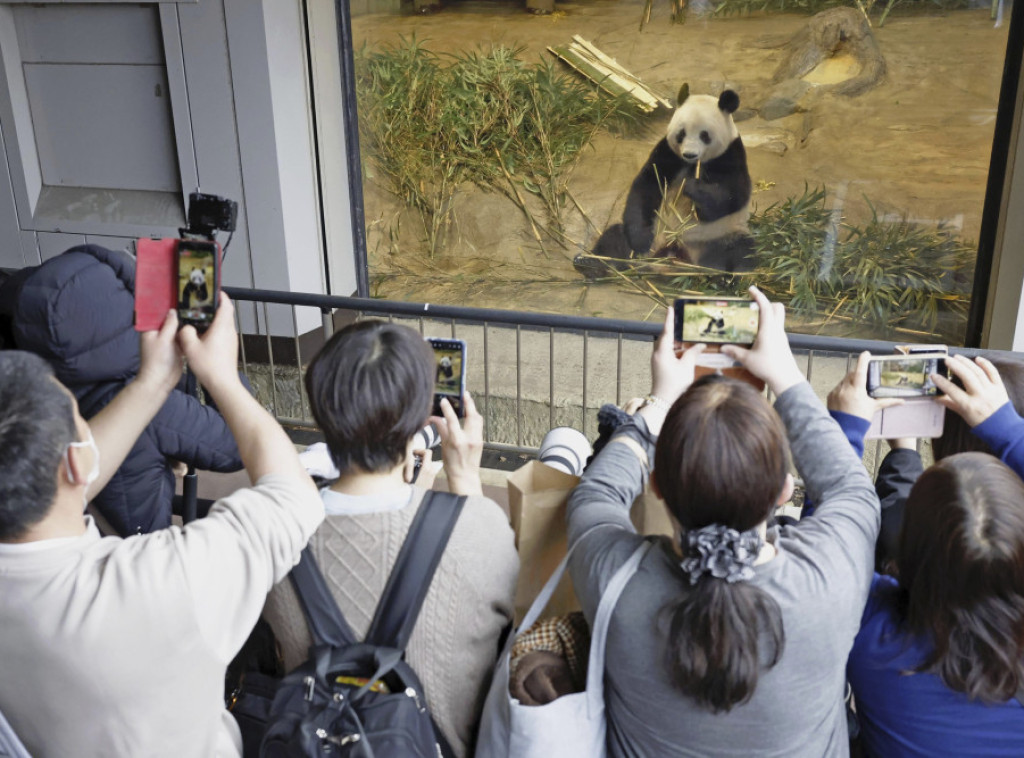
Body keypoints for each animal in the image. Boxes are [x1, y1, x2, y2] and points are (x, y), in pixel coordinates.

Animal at [589, 85, 757, 272]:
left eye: (704, 135)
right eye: (681, 134)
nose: (689, 154)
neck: (692, 164)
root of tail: (675, 250)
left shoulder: (730, 154)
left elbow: (732, 196)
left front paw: (692, 187)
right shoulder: (667, 152)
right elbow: (647, 186)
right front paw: (640, 240)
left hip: (718, 235)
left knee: (739, 250)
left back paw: (719, 273)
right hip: (656, 235)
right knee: (615, 237)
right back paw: (593, 263)